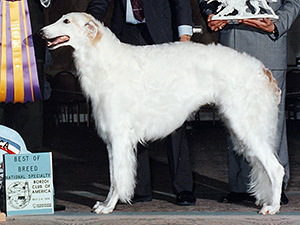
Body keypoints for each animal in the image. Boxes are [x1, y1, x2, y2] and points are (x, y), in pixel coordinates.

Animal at [39, 11, 284, 214]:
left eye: (66, 21)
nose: (40, 32)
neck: (105, 60)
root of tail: (262, 70)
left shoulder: (119, 136)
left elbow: (117, 179)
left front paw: (109, 207)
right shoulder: (110, 139)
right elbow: (112, 176)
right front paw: (105, 203)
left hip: (246, 127)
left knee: (277, 168)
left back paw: (272, 207)